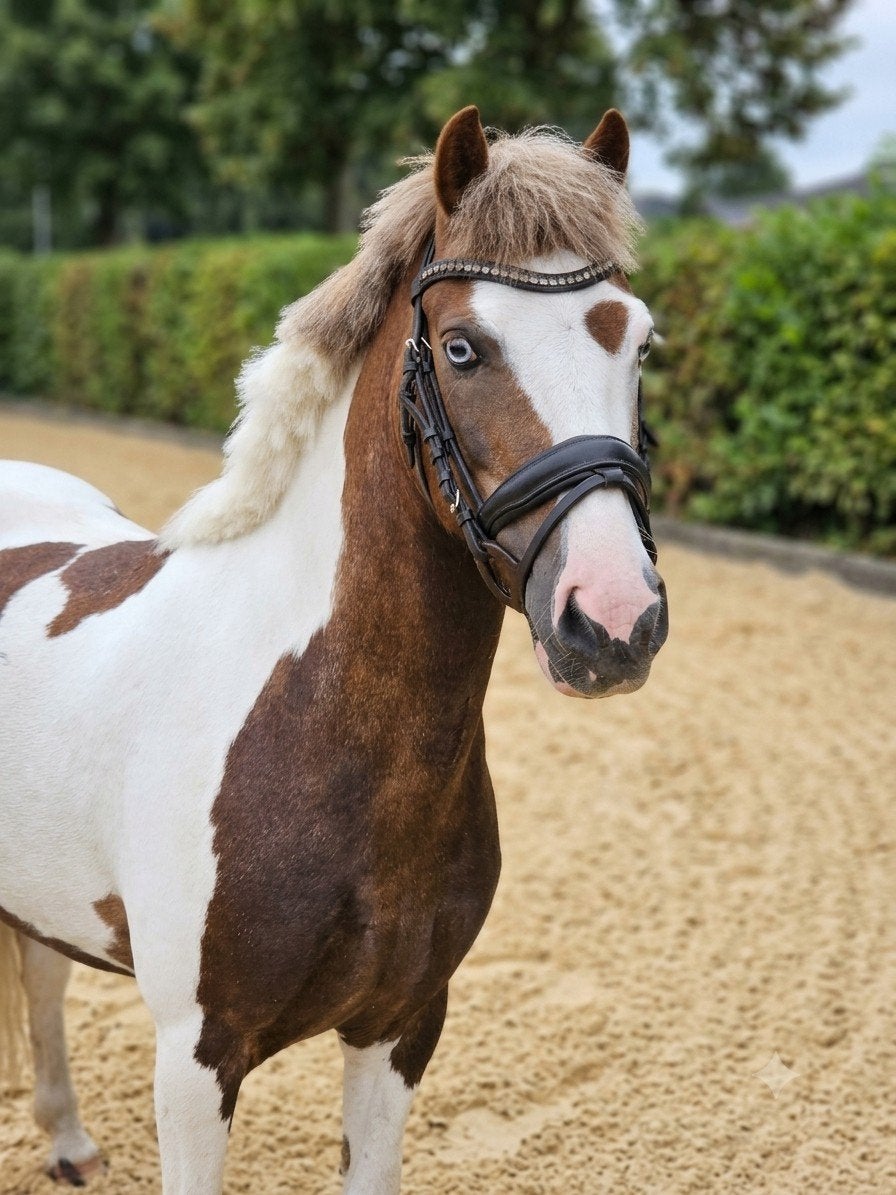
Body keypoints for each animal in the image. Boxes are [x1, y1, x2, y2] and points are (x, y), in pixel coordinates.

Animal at [0, 106, 668, 1193]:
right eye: (461, 347)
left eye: (639, 344)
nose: (611, 620)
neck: (311, 717)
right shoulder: (195, 1059)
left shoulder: (400, 1027)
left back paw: (65, 1137)